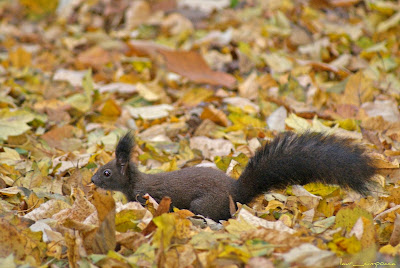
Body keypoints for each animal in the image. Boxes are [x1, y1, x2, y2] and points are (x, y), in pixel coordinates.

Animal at [91, 131, 378, 221]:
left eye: (107, 172)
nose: (91, 181)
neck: (135, 182)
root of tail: (238, 192)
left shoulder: (145, 198)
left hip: (204, 204)